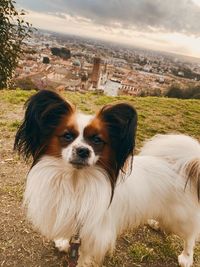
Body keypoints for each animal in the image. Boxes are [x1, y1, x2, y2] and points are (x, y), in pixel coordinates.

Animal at [14, 90, 200, 267]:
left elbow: (83, 256)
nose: (83, 151)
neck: (76, 181)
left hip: (180, 218)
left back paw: (186, 257)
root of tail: (183, 167)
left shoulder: (94, 235)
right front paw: (63, 242)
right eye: (67, 136)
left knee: (190, 235)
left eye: (97, 140)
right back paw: (155, 222)